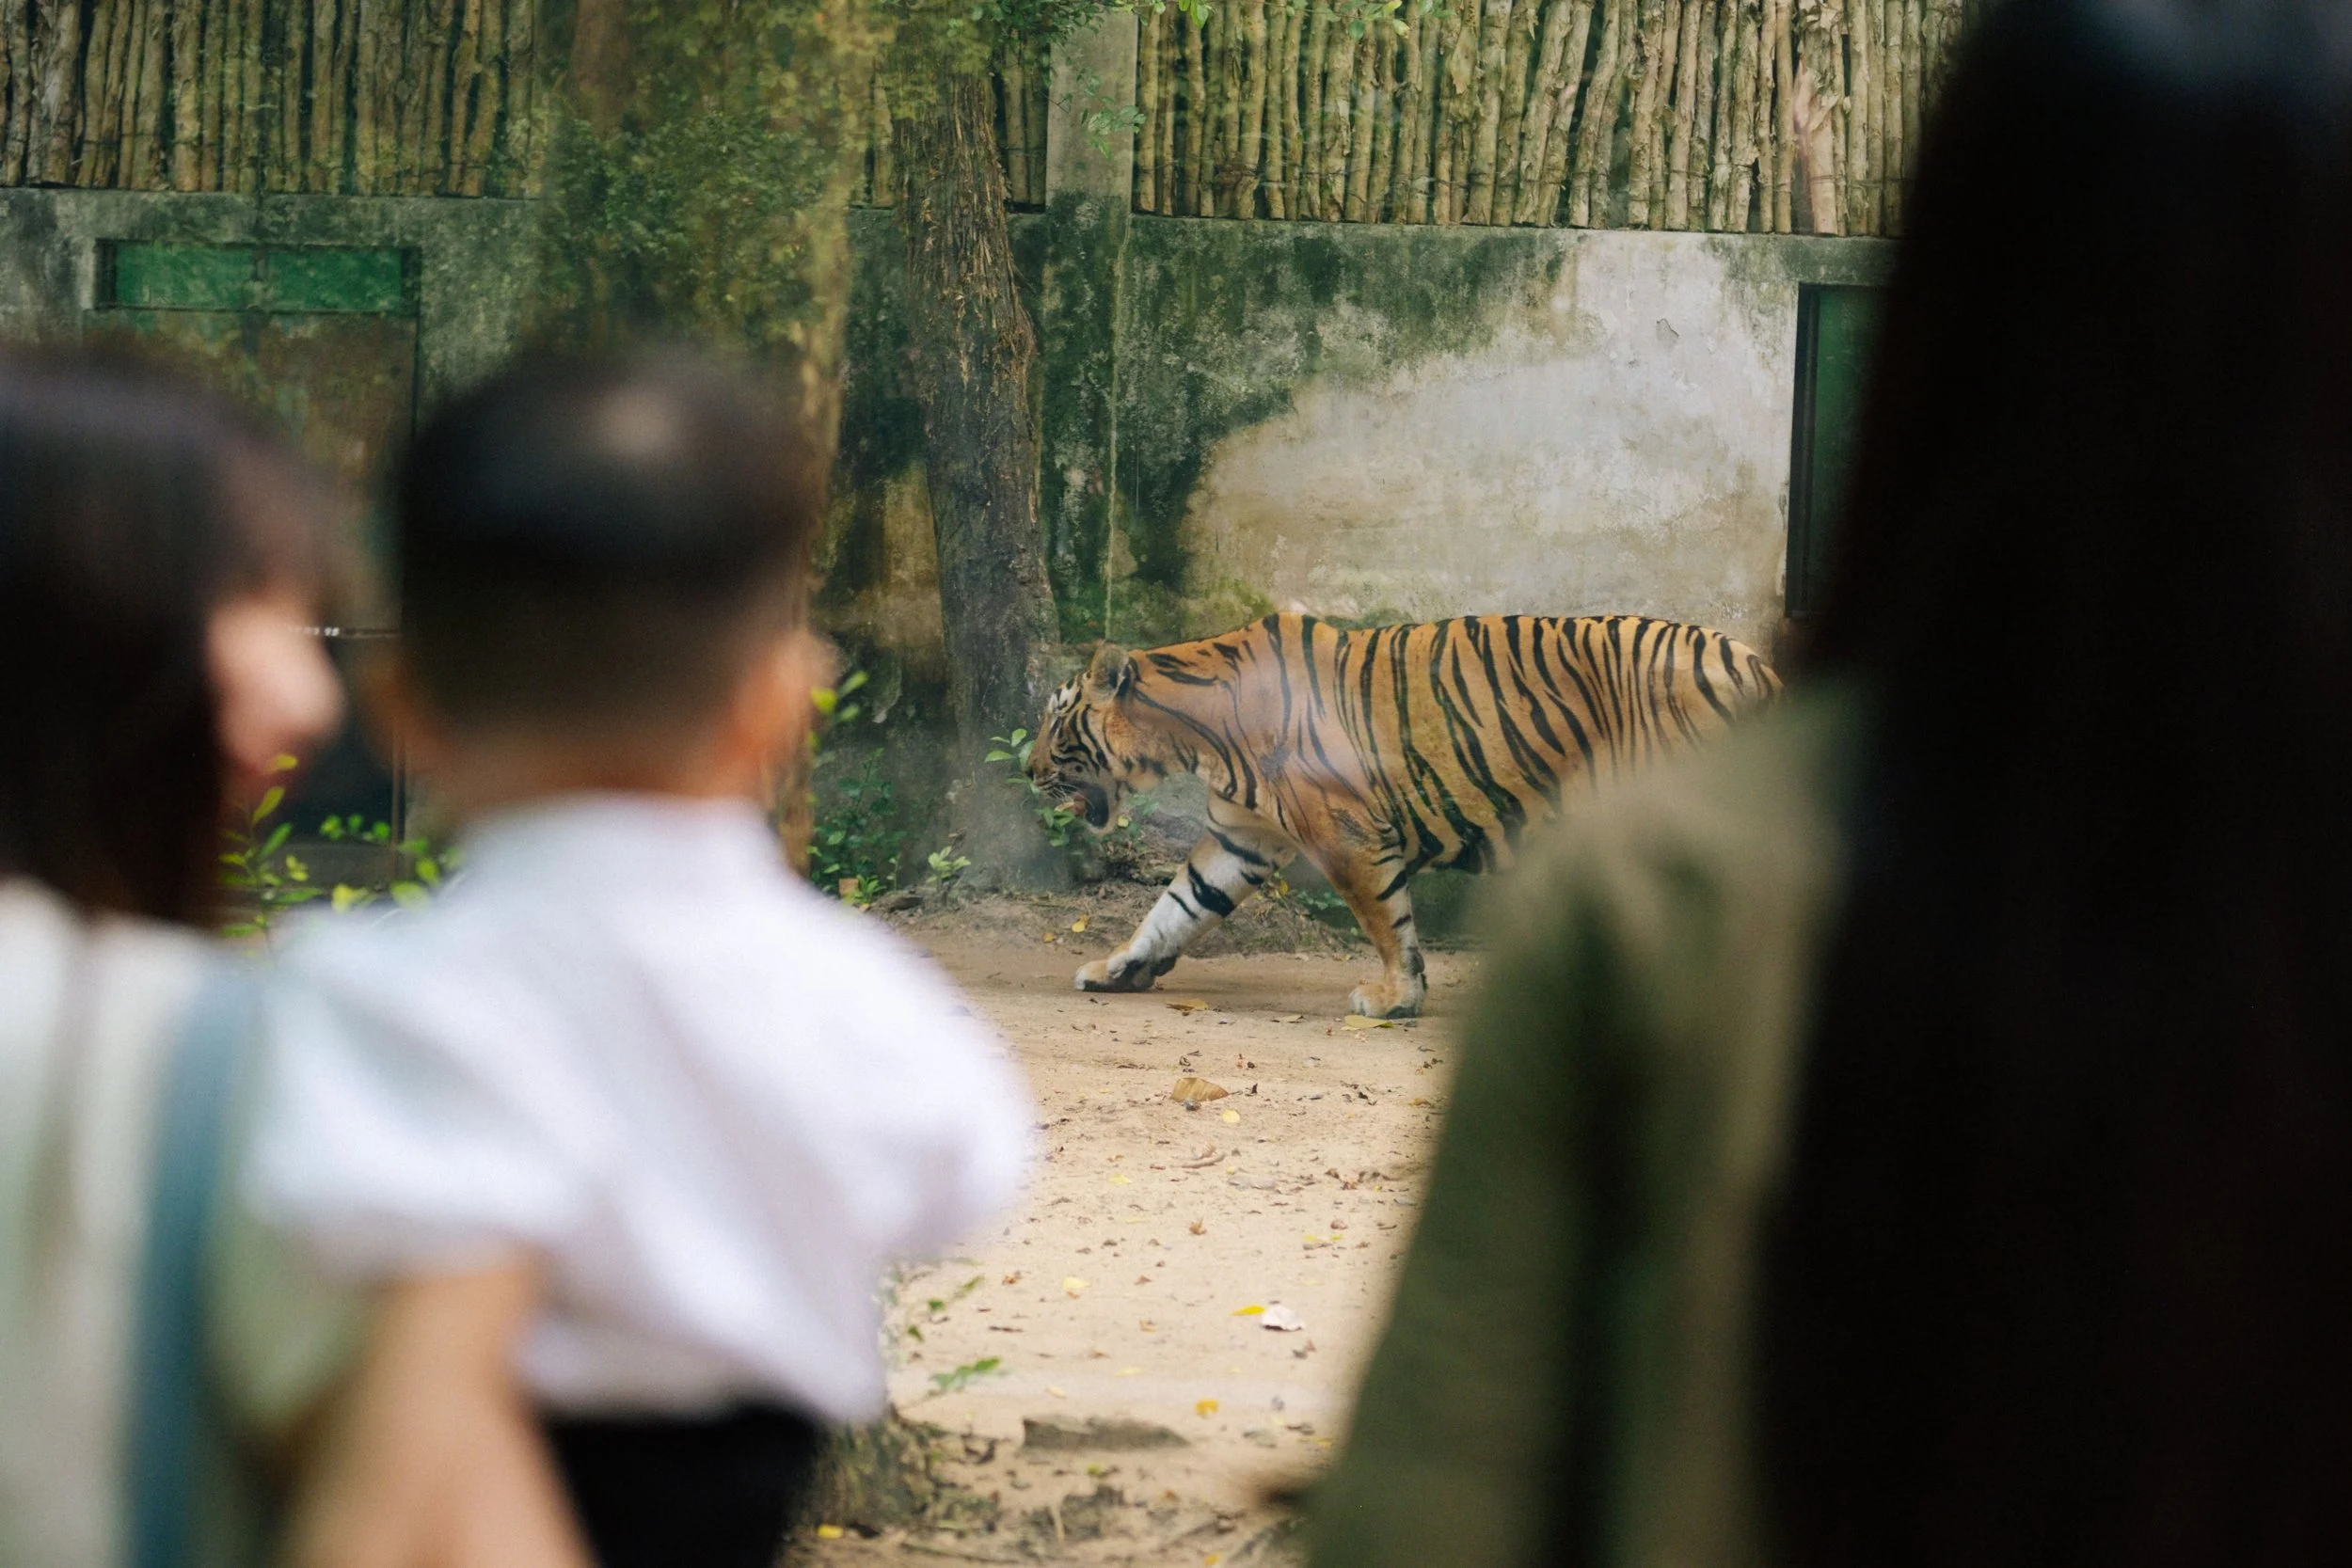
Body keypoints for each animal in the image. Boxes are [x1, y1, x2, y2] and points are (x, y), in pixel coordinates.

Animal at [1028, 611, 1781, 1018]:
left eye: (1055, 720)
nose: (1029, 772)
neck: (1196, 737)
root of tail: (1758, 666)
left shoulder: (1344, 832)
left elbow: (1387, 920)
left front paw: (1395, 998)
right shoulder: (1241, 838)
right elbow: (1176, 907)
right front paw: (1118, 968)